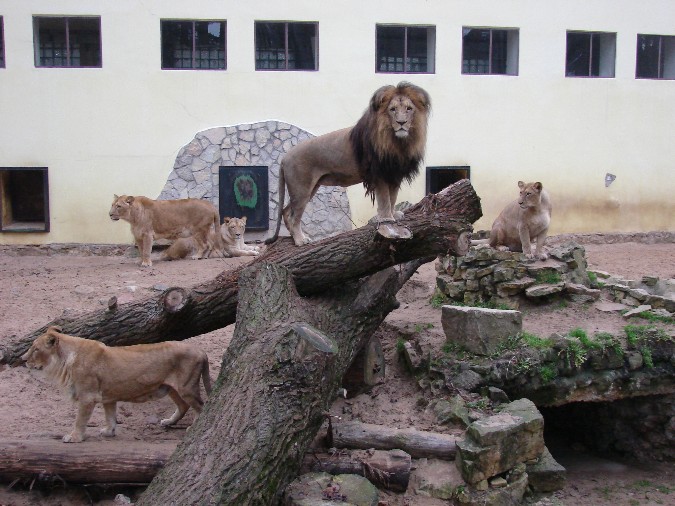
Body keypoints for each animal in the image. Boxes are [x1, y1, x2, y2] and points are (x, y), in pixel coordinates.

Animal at [22, 326, 212, 443]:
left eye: (36, 349)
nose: (23, 359)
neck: (64, 360)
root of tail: (201, 351)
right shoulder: (108, 397)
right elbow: (110, 416)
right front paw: (109, 432)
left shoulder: (87, 396)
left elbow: (80, 419)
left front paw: (74, 437)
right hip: (171, 388)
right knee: (184, 406)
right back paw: (168, 421)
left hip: (186, 387)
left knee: (201, 406)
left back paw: (194, 427)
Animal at [266, 82, 431, 246]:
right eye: (393, 109)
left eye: (409, 109)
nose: (401, 123)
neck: (397, 142)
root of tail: (284, 157)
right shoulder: (379, 174)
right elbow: (385, 199)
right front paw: (387, 219)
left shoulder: (394, 174)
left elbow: (393, 197)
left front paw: (394, 214)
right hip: (302, 189)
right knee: (293, 215)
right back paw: (300, 240)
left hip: (309, 188)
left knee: (286, 211)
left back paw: (294, 238)